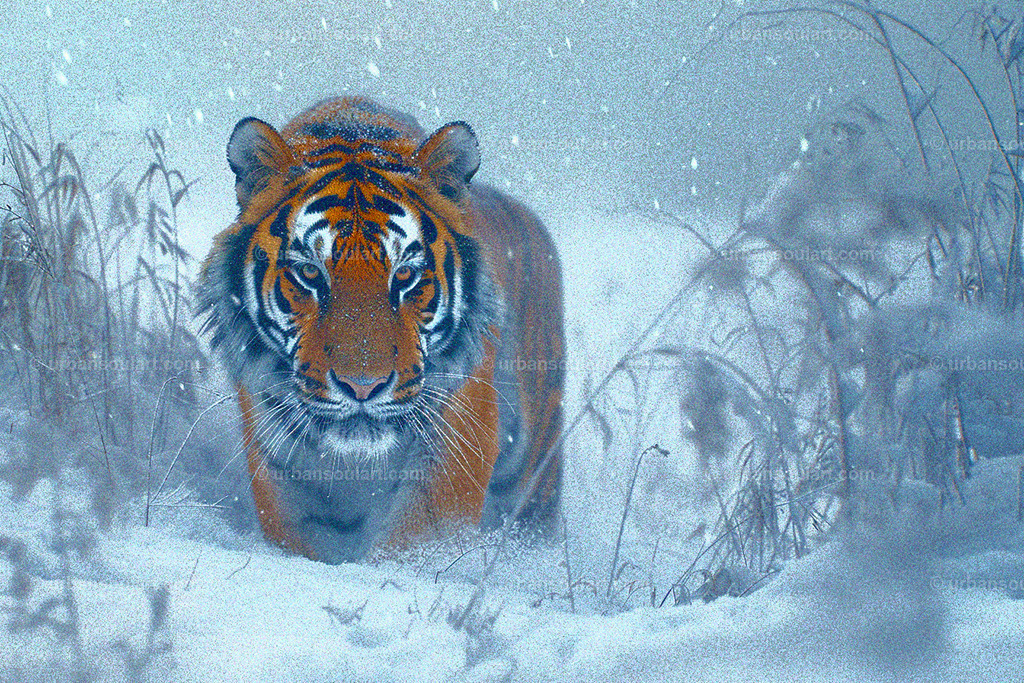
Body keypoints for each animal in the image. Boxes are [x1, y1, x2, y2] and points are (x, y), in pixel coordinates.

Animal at [197, 96, 564, 563]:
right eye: (309, 273)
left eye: (404, 275)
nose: (363, 387)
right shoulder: (279, 461)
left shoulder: (456, 440)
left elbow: (413, 541)